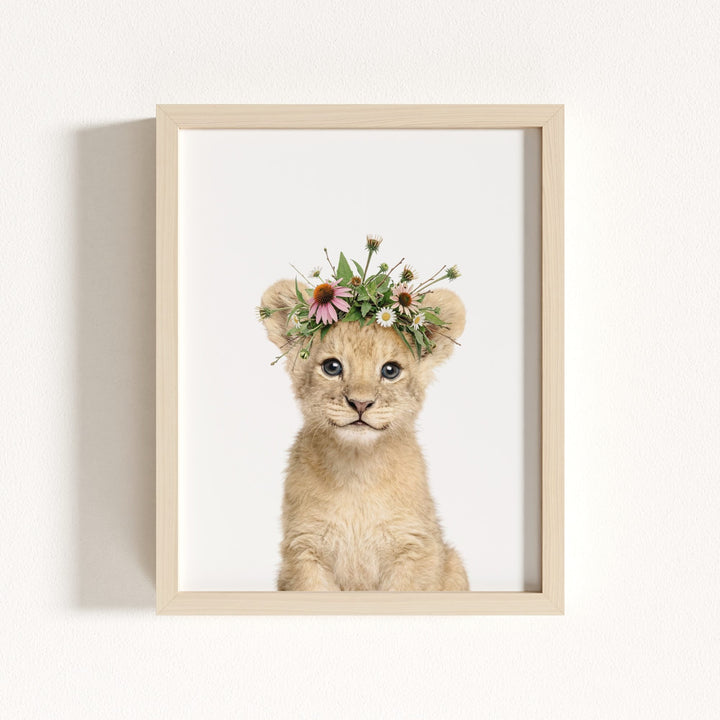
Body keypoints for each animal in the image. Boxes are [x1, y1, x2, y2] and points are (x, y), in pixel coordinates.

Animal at [260, 279, 469, 591]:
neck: (357, 471)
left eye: (390, 370)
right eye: (332, 367)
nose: (360, 403)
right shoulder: (304, 550)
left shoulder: (416, 548)